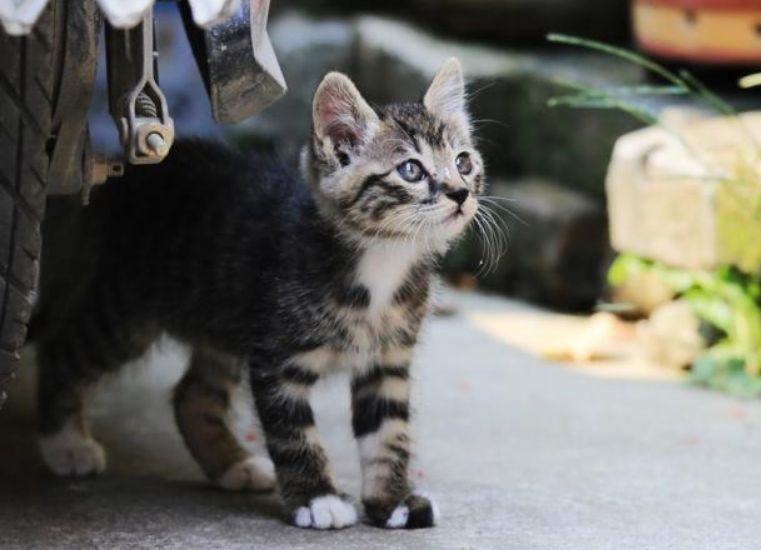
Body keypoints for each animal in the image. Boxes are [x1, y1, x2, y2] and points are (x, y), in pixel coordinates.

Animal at [29, 57, 484, 532]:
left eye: (463, 161)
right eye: (411, 170)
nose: (460, 192)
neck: (381, 262)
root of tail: (121, 174)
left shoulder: (387, 362)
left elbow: (388, 434)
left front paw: (392, 501)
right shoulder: (276, 358)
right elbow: (294, 434)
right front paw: (317, 498)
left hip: (221, 318)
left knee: (192, 394)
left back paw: (233, 464)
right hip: (125, 310)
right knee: (63, 349)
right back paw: (65, 443)